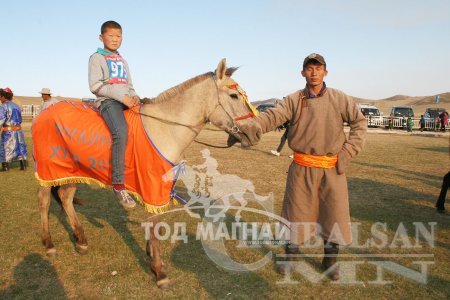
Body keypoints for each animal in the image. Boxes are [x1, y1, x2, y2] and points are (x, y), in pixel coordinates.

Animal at [36, 58, 264, 288]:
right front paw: (159, 270)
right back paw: (49, 244)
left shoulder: (162, 187)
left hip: (70, 170)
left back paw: (81, 240)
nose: (257, 132)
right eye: (234, 95)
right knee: (44, 200)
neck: (165, 130)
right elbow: (155, 222)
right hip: (48, 171)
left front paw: (150, 253)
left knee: (65, 198)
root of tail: (44, 113)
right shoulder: (153, 186)